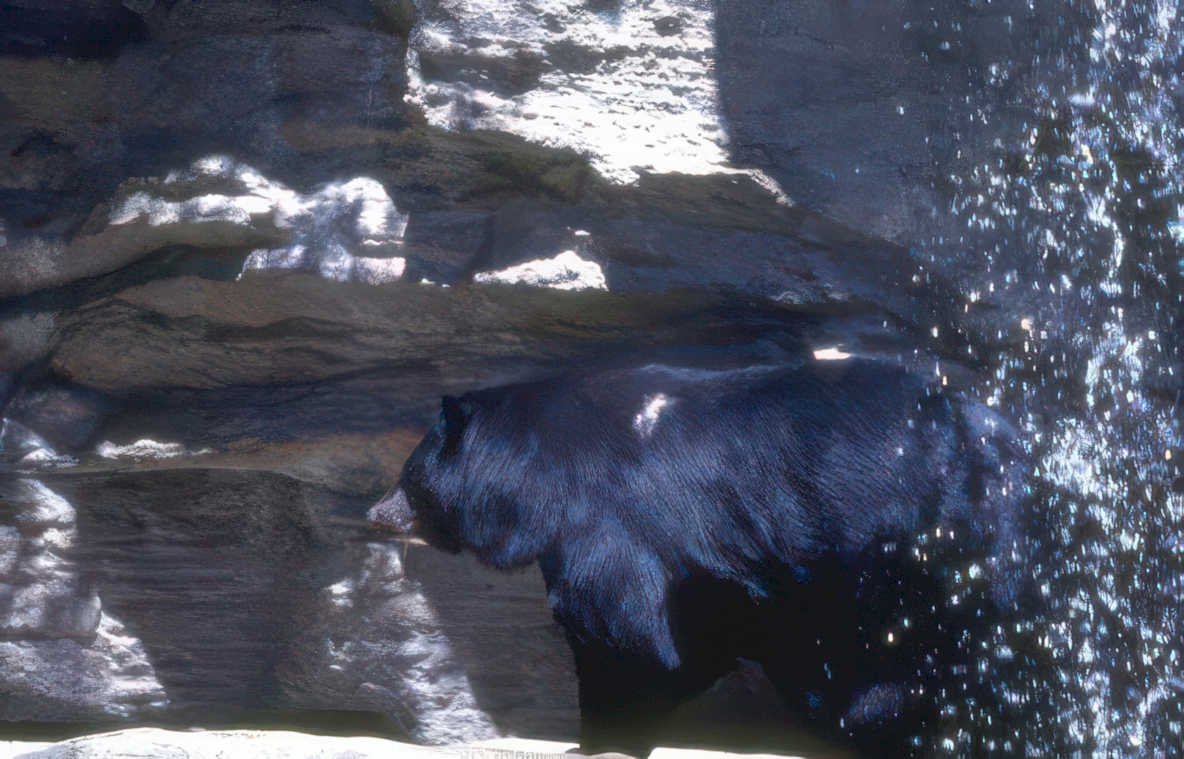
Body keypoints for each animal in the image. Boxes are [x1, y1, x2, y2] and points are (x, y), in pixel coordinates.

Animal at [370, 358, 1029, 756]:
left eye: (409, 476)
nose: (376, 512)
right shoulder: (707, 572)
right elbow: (691, 639)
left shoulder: (610, 521)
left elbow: (629, 638)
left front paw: (600, 733)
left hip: (921, 553)